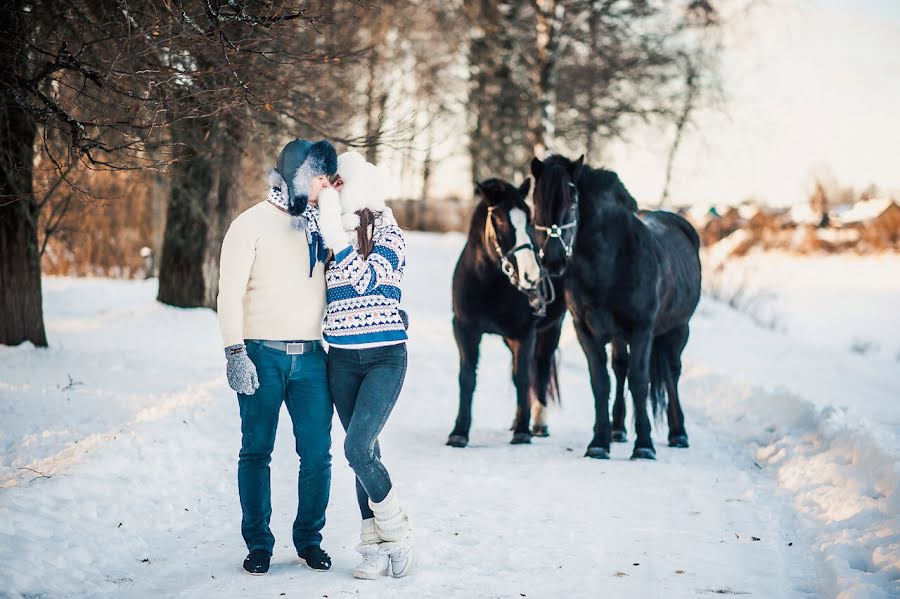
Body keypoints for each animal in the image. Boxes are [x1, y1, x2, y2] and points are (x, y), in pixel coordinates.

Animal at [450, 176, 568, 448]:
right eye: (500, 219)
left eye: (528, 219)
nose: (531, 275)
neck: (489, 283)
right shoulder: (465, 329)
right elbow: (467, 378)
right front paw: (459, 432)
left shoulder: (525, 333)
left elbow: (521, 377)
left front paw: (523, 431)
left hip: (550, 330)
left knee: (540, 369)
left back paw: (538, 424)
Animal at [532, 154, 700, 460]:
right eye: (536, 200)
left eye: (572, 199)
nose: (553, 260)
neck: (609, 264)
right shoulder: (586, 331)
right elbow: (601, 382)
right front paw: (599, 442)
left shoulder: (643, 330)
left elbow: (639, 381)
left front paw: (644, 446)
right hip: (621, 336)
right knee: (620, 367)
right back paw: (618, 429)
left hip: (678, 330)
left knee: (672, 372)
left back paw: (678, 433)